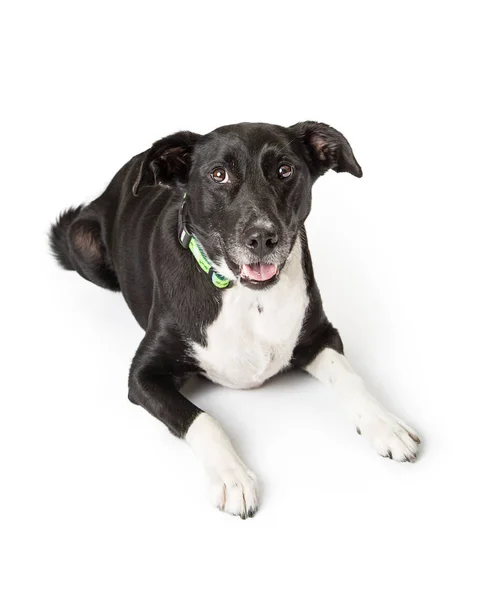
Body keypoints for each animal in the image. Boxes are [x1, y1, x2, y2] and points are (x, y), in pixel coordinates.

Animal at [50, 120, 422, 516]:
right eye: (219, 174)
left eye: (284, 170)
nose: (262, 238)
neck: (246, 296)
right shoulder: (142, 376)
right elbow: (202, 419)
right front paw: (232, 477)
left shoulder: (321, 333)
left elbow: (350, 377)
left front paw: (386, 425)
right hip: (79, 241)